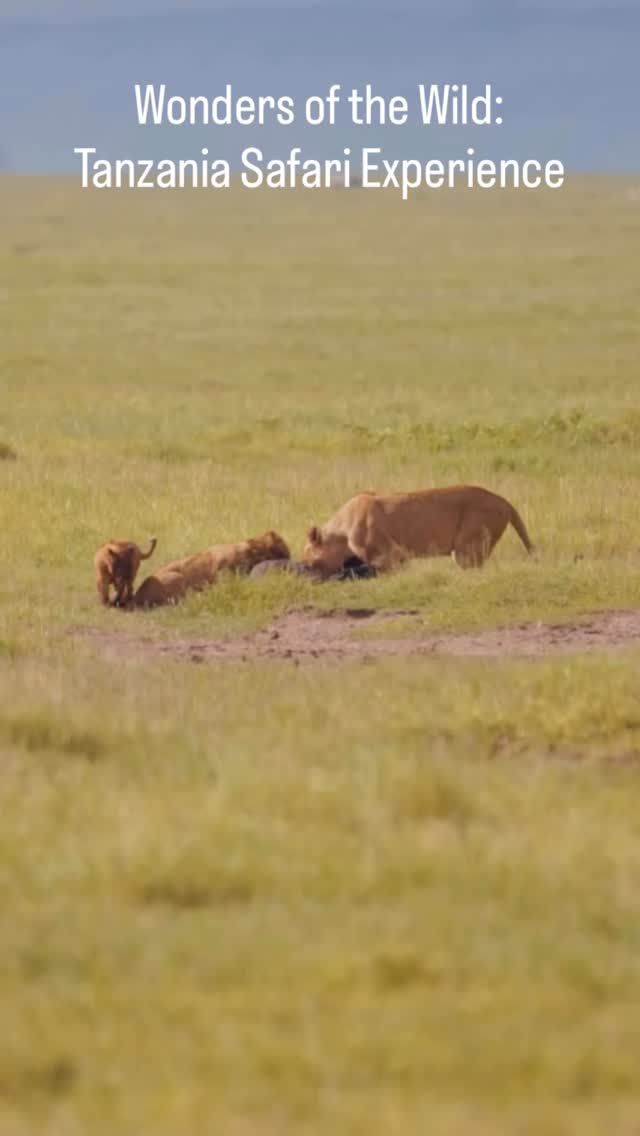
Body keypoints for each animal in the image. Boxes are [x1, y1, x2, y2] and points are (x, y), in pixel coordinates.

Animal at [302, 486, 533, 577]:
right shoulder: (401, 556)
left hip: (467, 548)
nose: (306, 573)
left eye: (309, 561)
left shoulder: (389, 553)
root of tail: (502, 500)